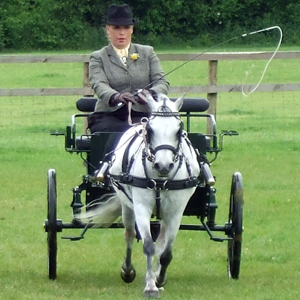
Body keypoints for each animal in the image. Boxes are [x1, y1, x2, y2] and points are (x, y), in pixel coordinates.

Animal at [77, 93, 200, 298]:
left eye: (179, 130)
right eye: (149, 130)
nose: (163, 166)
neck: (160, 179)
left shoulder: (176, 211)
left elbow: (166, 252)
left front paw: (159, 279)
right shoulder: (141, 206)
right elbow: (148, 245)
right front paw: (150, 287)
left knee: (161, 240)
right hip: (127, 206)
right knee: (129, 234)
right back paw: (128, 271)